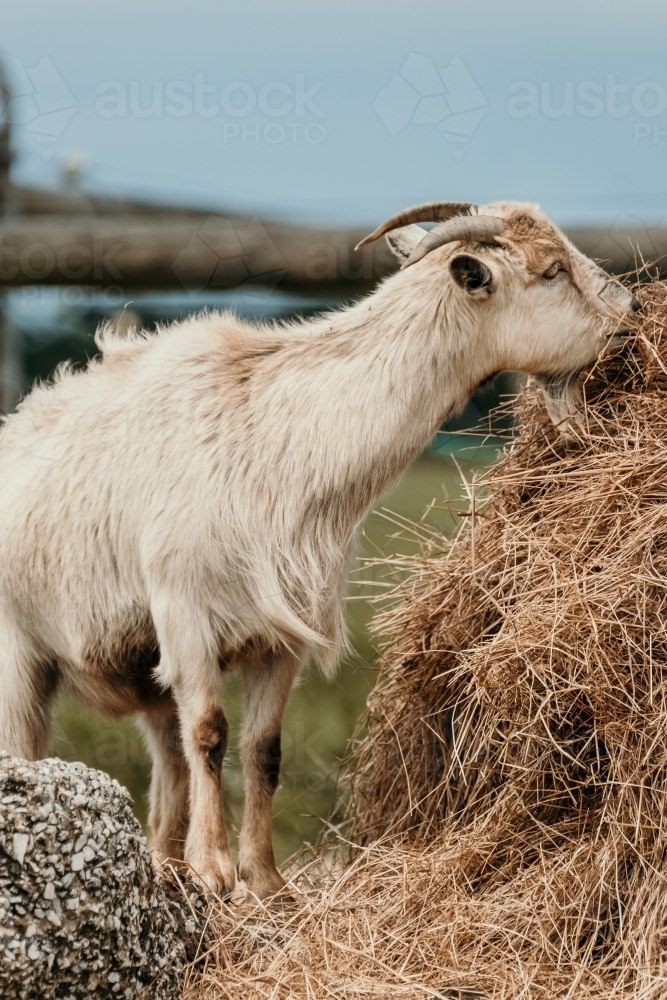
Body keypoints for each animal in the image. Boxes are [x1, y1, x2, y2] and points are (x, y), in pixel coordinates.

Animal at [0, 200, 639, 898]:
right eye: (552, 271)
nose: (632, 313)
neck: (277, 436)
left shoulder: (283, 635)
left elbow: (263, 750)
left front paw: (264, 880)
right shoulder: (184, 612)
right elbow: (210, 732)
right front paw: (216, 871)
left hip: (143, 670)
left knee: (166, 754)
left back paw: (167, 867)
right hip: (19, 656)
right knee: (32, 749)